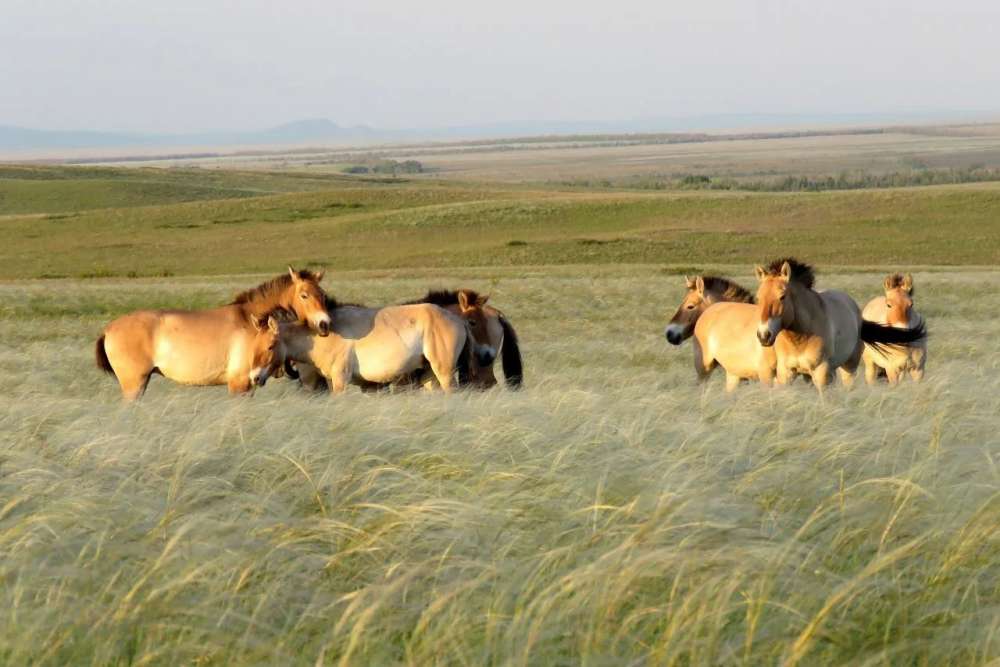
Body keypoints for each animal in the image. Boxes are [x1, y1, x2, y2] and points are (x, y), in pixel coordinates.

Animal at [95, 268, 331, 400]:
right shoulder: (239, 385)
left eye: (322, 294)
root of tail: (108, 329)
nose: (324, 324)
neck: (250, 321)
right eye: (304, 295)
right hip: (133, 385)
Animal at [754, 258, 926, 391]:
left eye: (782, 296)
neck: (799, 339)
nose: (764, 335)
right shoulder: (786, 373)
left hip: (848, 367)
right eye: (758, 298)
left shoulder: (822, 373)